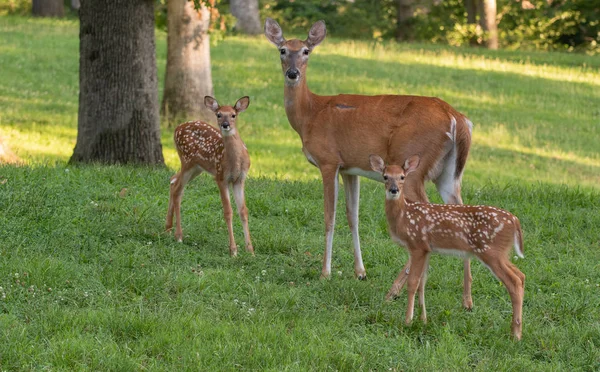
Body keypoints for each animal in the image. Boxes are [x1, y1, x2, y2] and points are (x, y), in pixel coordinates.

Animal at [165, 95, 254, 256]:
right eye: (218, 114)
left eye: (233, 115)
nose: (225, 124)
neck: (235, 162)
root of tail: (176, 128)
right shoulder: (221, 177)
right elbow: (228, 211)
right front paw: (233, 250)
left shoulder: (240, 179)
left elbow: (243, 211)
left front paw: (250, 250)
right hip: (187, 161)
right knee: (178, 190)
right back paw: (179, 235)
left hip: (196, 167)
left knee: (173, 180)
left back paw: (168, 228)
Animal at [264, 16, 476, 308]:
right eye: (282, 50)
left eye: (306, 51)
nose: (293, 73)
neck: (310, 115)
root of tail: (457, 118)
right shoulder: (350, 169)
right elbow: (352, 216)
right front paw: (360, 272)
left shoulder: (328, 161)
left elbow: (329, 216)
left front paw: (325, 273)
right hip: (449, 173)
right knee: (459, 211)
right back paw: (467, 298)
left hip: (414, 165)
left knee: (426, 213)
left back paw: (394, 290)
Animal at [370, 154, 524, 340]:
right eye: (385, 177)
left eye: (402, 177)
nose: (393, 190)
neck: (403, 216)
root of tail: (515, 221)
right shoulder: (427, 249)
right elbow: (423, 282)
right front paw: (423, 319)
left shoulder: (417, 245)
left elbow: (413, 282)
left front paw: (408, 321)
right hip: (501, 253)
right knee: (521, 275)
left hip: (490, 251)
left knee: (514, 281)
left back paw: (516, 335)